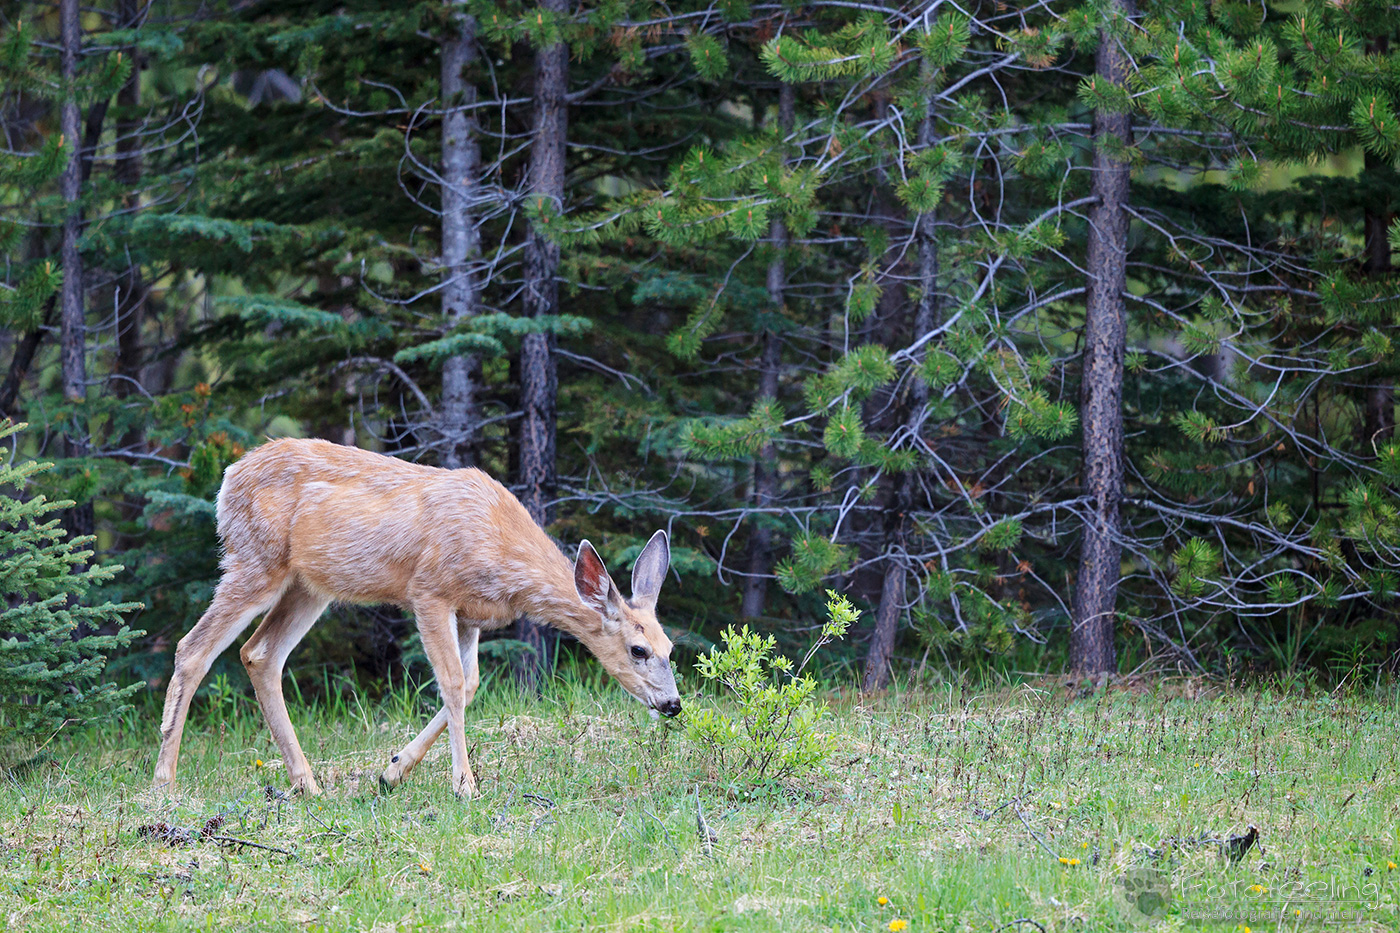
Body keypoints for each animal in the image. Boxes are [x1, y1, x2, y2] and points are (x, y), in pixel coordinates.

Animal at [151, 438, 680, 798]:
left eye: (671, 649)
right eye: (638, 649)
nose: (673, 703)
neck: (504, 555)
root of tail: (227, 478)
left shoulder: (471, 615)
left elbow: (470, 684)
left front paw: (393, 769)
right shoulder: (430, 592)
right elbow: (451, 681)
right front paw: (464, 785)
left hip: (307, 585)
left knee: (259, 653)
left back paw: (307, 783)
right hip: (255, 561)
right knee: (192, 649)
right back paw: (164, 783)